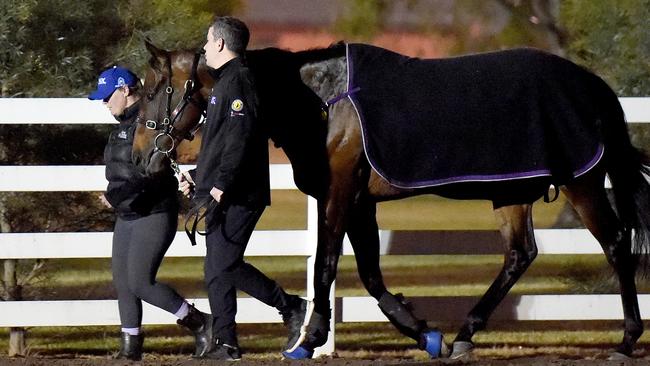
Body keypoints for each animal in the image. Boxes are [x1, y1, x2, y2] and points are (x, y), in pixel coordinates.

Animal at [130, 40, 648, 360]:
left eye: (155, 90)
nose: (140, 156)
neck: (325, 101)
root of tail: (594, 86)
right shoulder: (361, 201)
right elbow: (370, 274)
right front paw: (424, 333)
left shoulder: (340, 193)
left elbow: (327, 264)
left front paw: (310, 339)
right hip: (511, 192)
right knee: (520, 255)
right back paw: (464, 334)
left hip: (582, 184)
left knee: (616, 245)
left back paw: (625, 341)